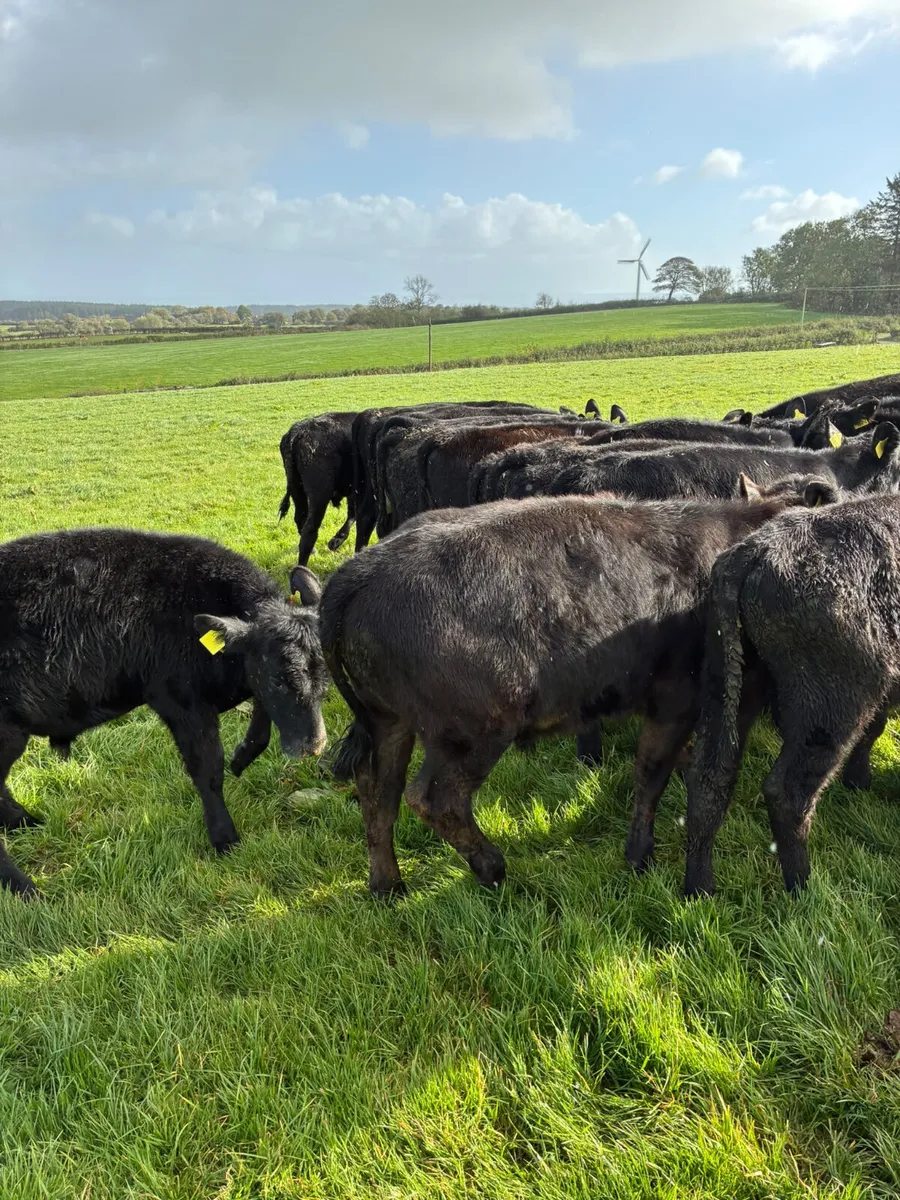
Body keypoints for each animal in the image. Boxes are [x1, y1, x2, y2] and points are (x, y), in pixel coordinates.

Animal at [0, 528, 328, 897]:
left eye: (327, 674)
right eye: (278, 679)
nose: (314, 745)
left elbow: (260, 723)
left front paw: (241, 757)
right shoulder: (182, 702)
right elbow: (208, 771)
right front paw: (225, 838)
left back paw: (23, 822)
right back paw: (25, 887)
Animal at [278, 411, 357, 565]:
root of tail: (298, 430)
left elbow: (352, 513)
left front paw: (336, 540)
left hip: (297, 489)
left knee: (300, 519)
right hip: (319, 494)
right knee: (310, 529)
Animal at [318, 477, 836, 896]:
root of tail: (361, 568)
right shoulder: (677, 700)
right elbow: (651, 774)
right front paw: (639, 854)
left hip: (389, 720)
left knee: (377, 788)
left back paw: (388, 884)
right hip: (471, 730)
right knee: (434, 799)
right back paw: (492, 868)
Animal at [684, 492, 900, 898]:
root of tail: (755, 549)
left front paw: (858, 782)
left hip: (728, 682)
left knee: (709, 778)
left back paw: (699, 888)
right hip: (829, 708)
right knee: (788, 792)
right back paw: (804, 888)